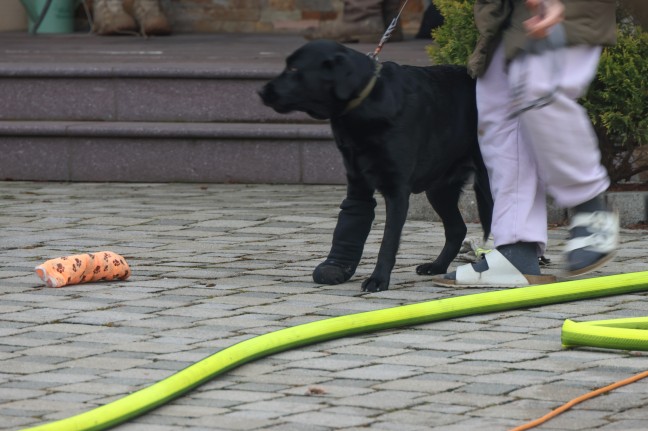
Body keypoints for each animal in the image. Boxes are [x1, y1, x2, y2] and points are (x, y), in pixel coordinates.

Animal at [258, 40, 492, 294]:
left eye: (293, 69)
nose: (261, 91)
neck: (366, 104)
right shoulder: (357, 180)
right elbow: (351, 219)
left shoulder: (397, 189)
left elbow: (388, 240)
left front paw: (378, 279)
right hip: (439, 188)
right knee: (457, 228)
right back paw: (437, 266)